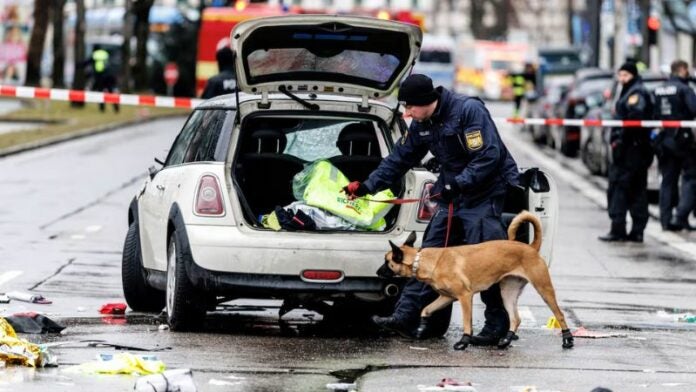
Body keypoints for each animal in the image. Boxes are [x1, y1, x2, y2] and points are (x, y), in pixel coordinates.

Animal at [378, 211, 572, 352]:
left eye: (387, 262)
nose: (378, 272)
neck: (424, 260)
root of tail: (530, 247)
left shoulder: (465, 297)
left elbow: (466, 322)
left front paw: (464, 342)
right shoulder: (446, 298)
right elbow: (425, 310)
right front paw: (421, 327)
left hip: (544, 289)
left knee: (560, 314)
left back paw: (568, 339)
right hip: (507, 293)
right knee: (515, 319)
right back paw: (506, 340)